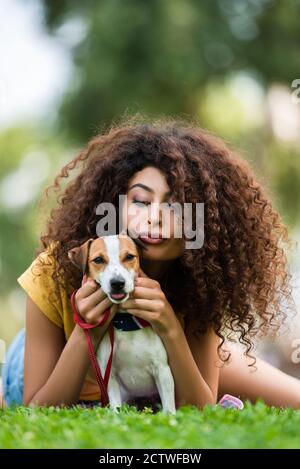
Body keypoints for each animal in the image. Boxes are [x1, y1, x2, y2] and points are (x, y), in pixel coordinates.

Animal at [68, 232, 176, 412]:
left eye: (129, 257)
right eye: (98, 260)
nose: (117, 283)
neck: (126, 325)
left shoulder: (163, 371)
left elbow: (169, 408)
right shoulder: (109, 376)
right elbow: (116, 408)